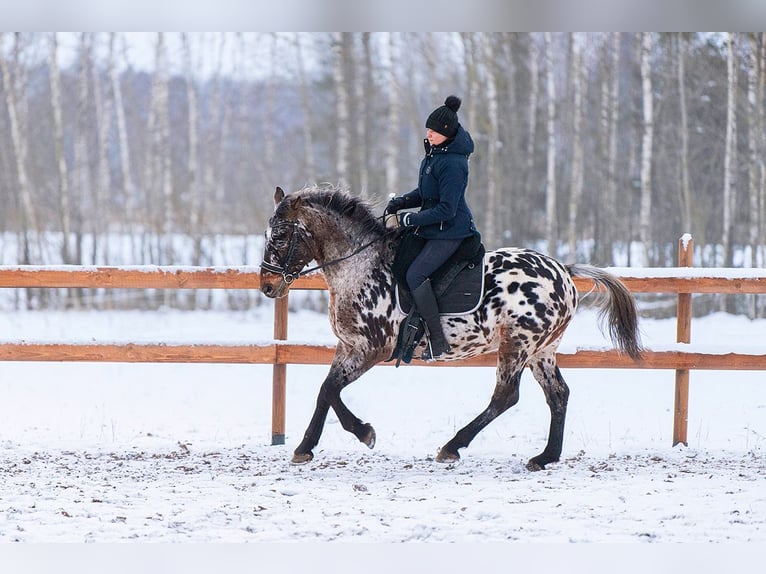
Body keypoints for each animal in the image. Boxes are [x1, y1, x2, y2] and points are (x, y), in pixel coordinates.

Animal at [258, 187, 640, 470]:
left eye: (280, 235)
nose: (267, 285)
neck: (360, 266)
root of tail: (563, 271)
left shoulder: (371, 349)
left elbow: (329, 390)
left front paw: (357, 434)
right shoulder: (349, 346)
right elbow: (327, 391)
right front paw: (314, 445)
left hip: (516, 345)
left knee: (506, 396)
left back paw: (453, 446)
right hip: (541, 350)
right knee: (557, 394)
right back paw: (545, 457)